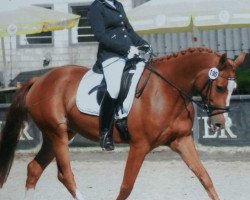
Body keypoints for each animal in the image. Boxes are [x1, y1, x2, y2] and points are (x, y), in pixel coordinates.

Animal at [0, 47, 245, 199]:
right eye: (220, 87)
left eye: (234, 89)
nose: (220, 124)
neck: (168, 91)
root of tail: (39, 79)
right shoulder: (139, 146)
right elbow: (127, 186)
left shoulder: (182, 141)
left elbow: (205, 178)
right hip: (57, 134)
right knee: (65, 175)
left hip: (57, 136)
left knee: (33, 169)